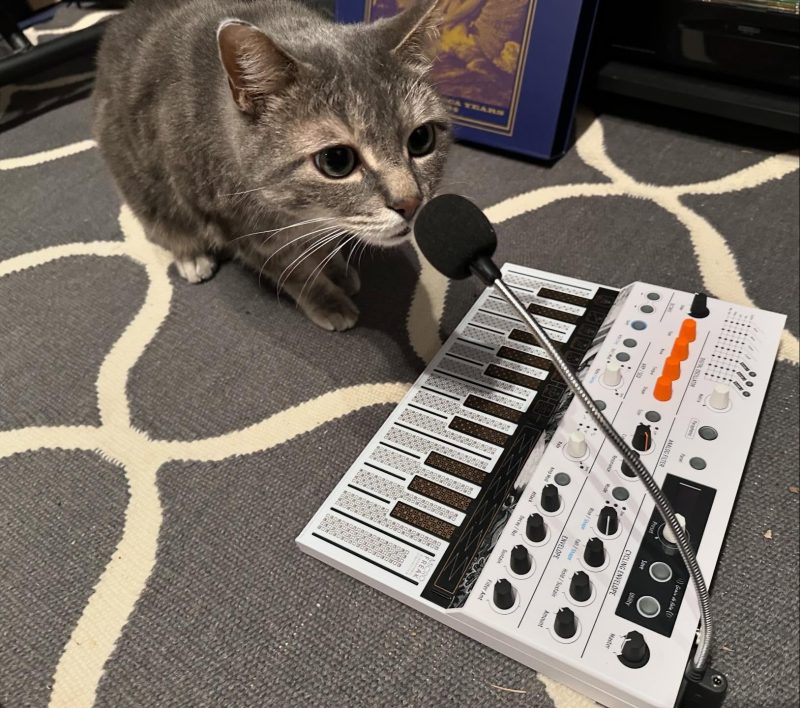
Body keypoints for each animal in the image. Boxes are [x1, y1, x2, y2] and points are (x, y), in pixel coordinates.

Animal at [94, 0, 450, 330]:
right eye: (337, 161)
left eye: (421, 139)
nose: (411, 203)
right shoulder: (238, 227)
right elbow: (292, 271)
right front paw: (328, 299)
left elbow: (323, 245)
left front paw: (335, 267)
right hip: (148, 190)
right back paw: (192, 256)